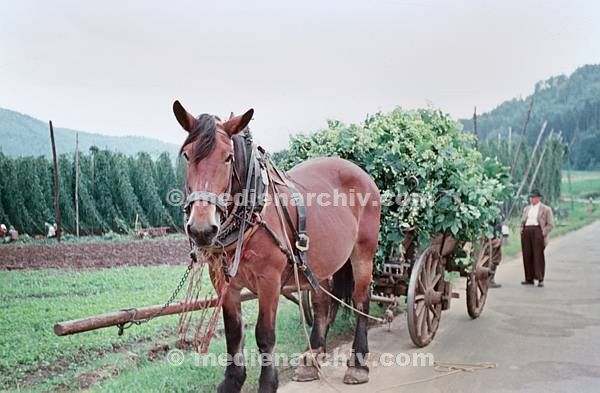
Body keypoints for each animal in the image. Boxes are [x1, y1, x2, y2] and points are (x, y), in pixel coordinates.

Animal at [172, 102, 380, 392]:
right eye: (188, 156)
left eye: (228, 157)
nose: (202, 229)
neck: (252, 213)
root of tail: (360, 172)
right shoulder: (223, 281)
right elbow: (233, 332)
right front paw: (232, 380)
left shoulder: (268, 279)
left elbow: (264, 334)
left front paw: (268, 382)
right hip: (318, 261)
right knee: (322, 300)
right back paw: (313, 356)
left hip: (363, 251)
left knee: (361, 299)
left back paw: (358, 363)